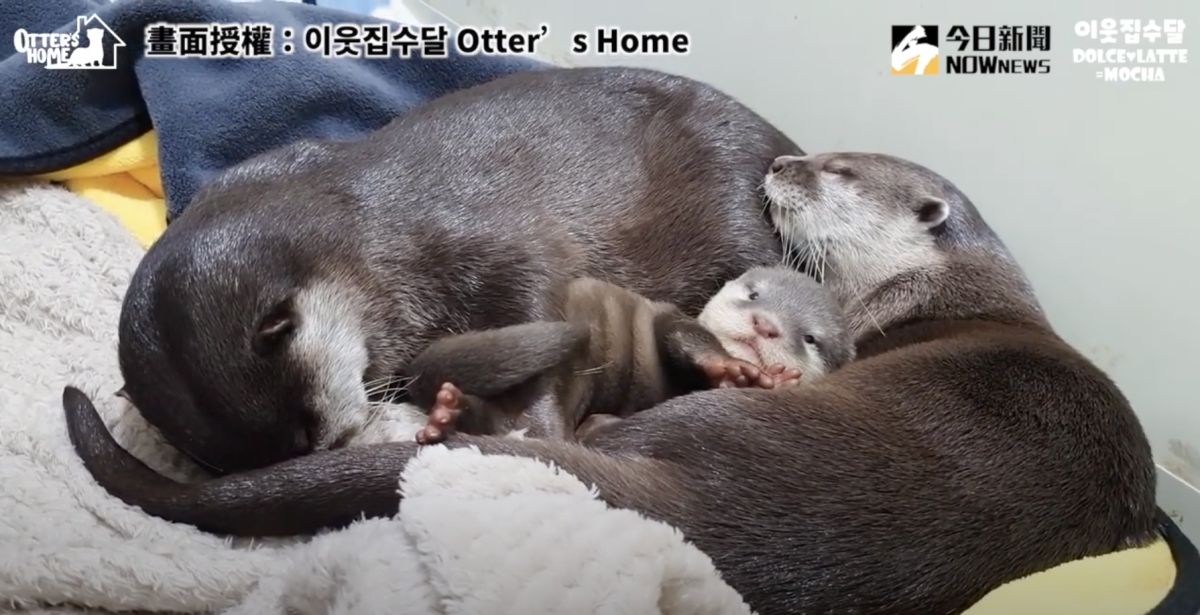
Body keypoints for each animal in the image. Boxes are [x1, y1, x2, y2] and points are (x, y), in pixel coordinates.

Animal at [110, 66, 799, 475]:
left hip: (738, 217)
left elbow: (542, 313)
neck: (373, 237)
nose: (335, 452)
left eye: (308, 434)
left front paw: (535, 433)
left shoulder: (494, 244)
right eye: (239, 467)